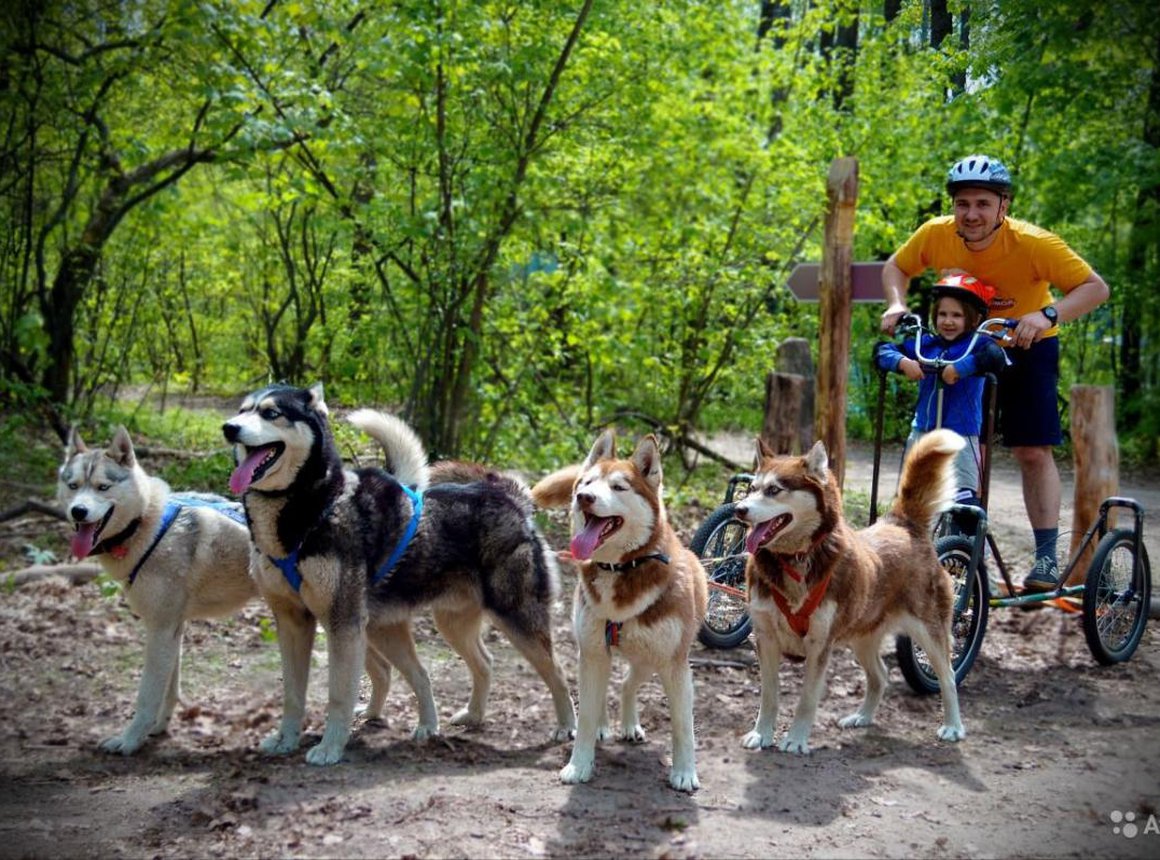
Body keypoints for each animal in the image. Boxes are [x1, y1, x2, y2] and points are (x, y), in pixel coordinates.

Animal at [57, 427, 258, 756]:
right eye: (73, 486)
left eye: (102, 487)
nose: (78, 511)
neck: (145, 527)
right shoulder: (173, 628)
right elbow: (168, 690)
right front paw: (157, 729)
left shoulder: (160, 629)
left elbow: (147, 695)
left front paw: (128, 741)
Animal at [221, 382, 575, 765]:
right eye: (242, 410)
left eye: (271, 413)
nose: (229, 428)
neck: (313, 510)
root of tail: (513, 500)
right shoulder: (292, 622)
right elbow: (291, 693)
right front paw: (285, 739)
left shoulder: (342, 624)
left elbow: (338, 695)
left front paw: (330, 748)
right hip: (428, 625)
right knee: (477, 664)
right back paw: (466, 717)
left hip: (515, 618)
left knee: (557, 672)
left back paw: (567, 726)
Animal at [531, 436, 705, 793]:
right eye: (586, 484)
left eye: (619, 487)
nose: (584, 497)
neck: (621, 569)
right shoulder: (593, 654)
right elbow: (584, 716)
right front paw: (579, 765)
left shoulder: (675, 664)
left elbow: (683, 726)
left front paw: (684, 773)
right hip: (600, 655)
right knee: (608, 689)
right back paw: (605, 726)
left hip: (649, 660)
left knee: (626, 684)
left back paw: (630, 724)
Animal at [733, 429, 969, 752]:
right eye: (752, 488)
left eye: (774, 490)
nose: (738, 509)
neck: (795, 560)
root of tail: (902, 523)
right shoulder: (766, 639)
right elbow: (769, 696)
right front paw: (762, 733)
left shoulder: (819, 645)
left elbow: (806, 700)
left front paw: (795, 740)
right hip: (862, 637)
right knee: (880, 676)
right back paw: (862, 717)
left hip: (929, 632)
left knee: (948, 677)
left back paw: (953, 726)